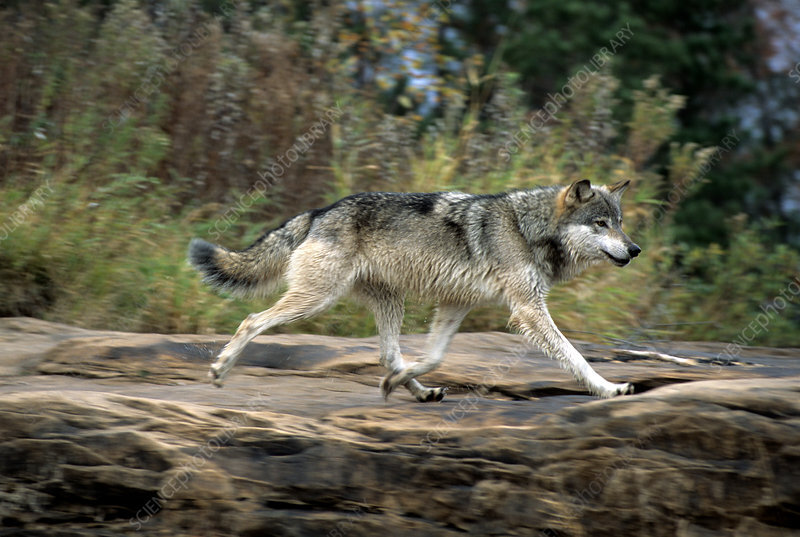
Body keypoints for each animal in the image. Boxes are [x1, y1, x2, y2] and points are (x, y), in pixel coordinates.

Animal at [186, 180, 636, 402]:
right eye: (601, 224)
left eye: (619, 222)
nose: (635, 250)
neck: (526, 229)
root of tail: (318, 212)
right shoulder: (527, 309)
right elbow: (575, 357)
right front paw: (610, 389)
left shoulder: (456, 305)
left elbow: (434, 357)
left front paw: (401, 382)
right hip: (316, 300)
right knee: (251, 320)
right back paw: (220, 369)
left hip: (388, 302)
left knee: (388, 355)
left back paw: (414, 390)